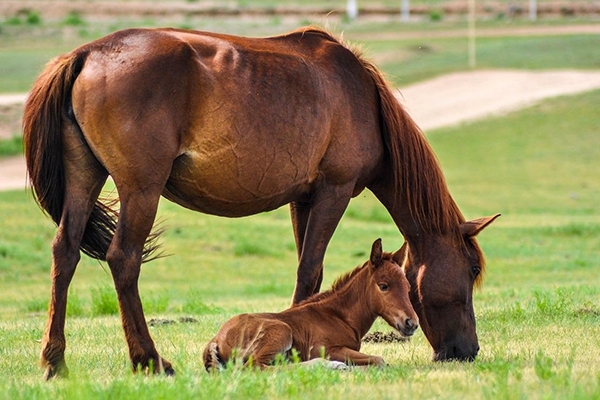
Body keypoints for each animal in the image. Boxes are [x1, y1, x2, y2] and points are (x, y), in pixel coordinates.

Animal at [204, 238, 420, 372]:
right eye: (384, 286)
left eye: (408, 287)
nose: (411, 323)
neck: (339, 316)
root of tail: (216, 339)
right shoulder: (329, 349)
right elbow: (379, 360)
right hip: (281, 331)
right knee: (257, 367)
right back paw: (329, 365)